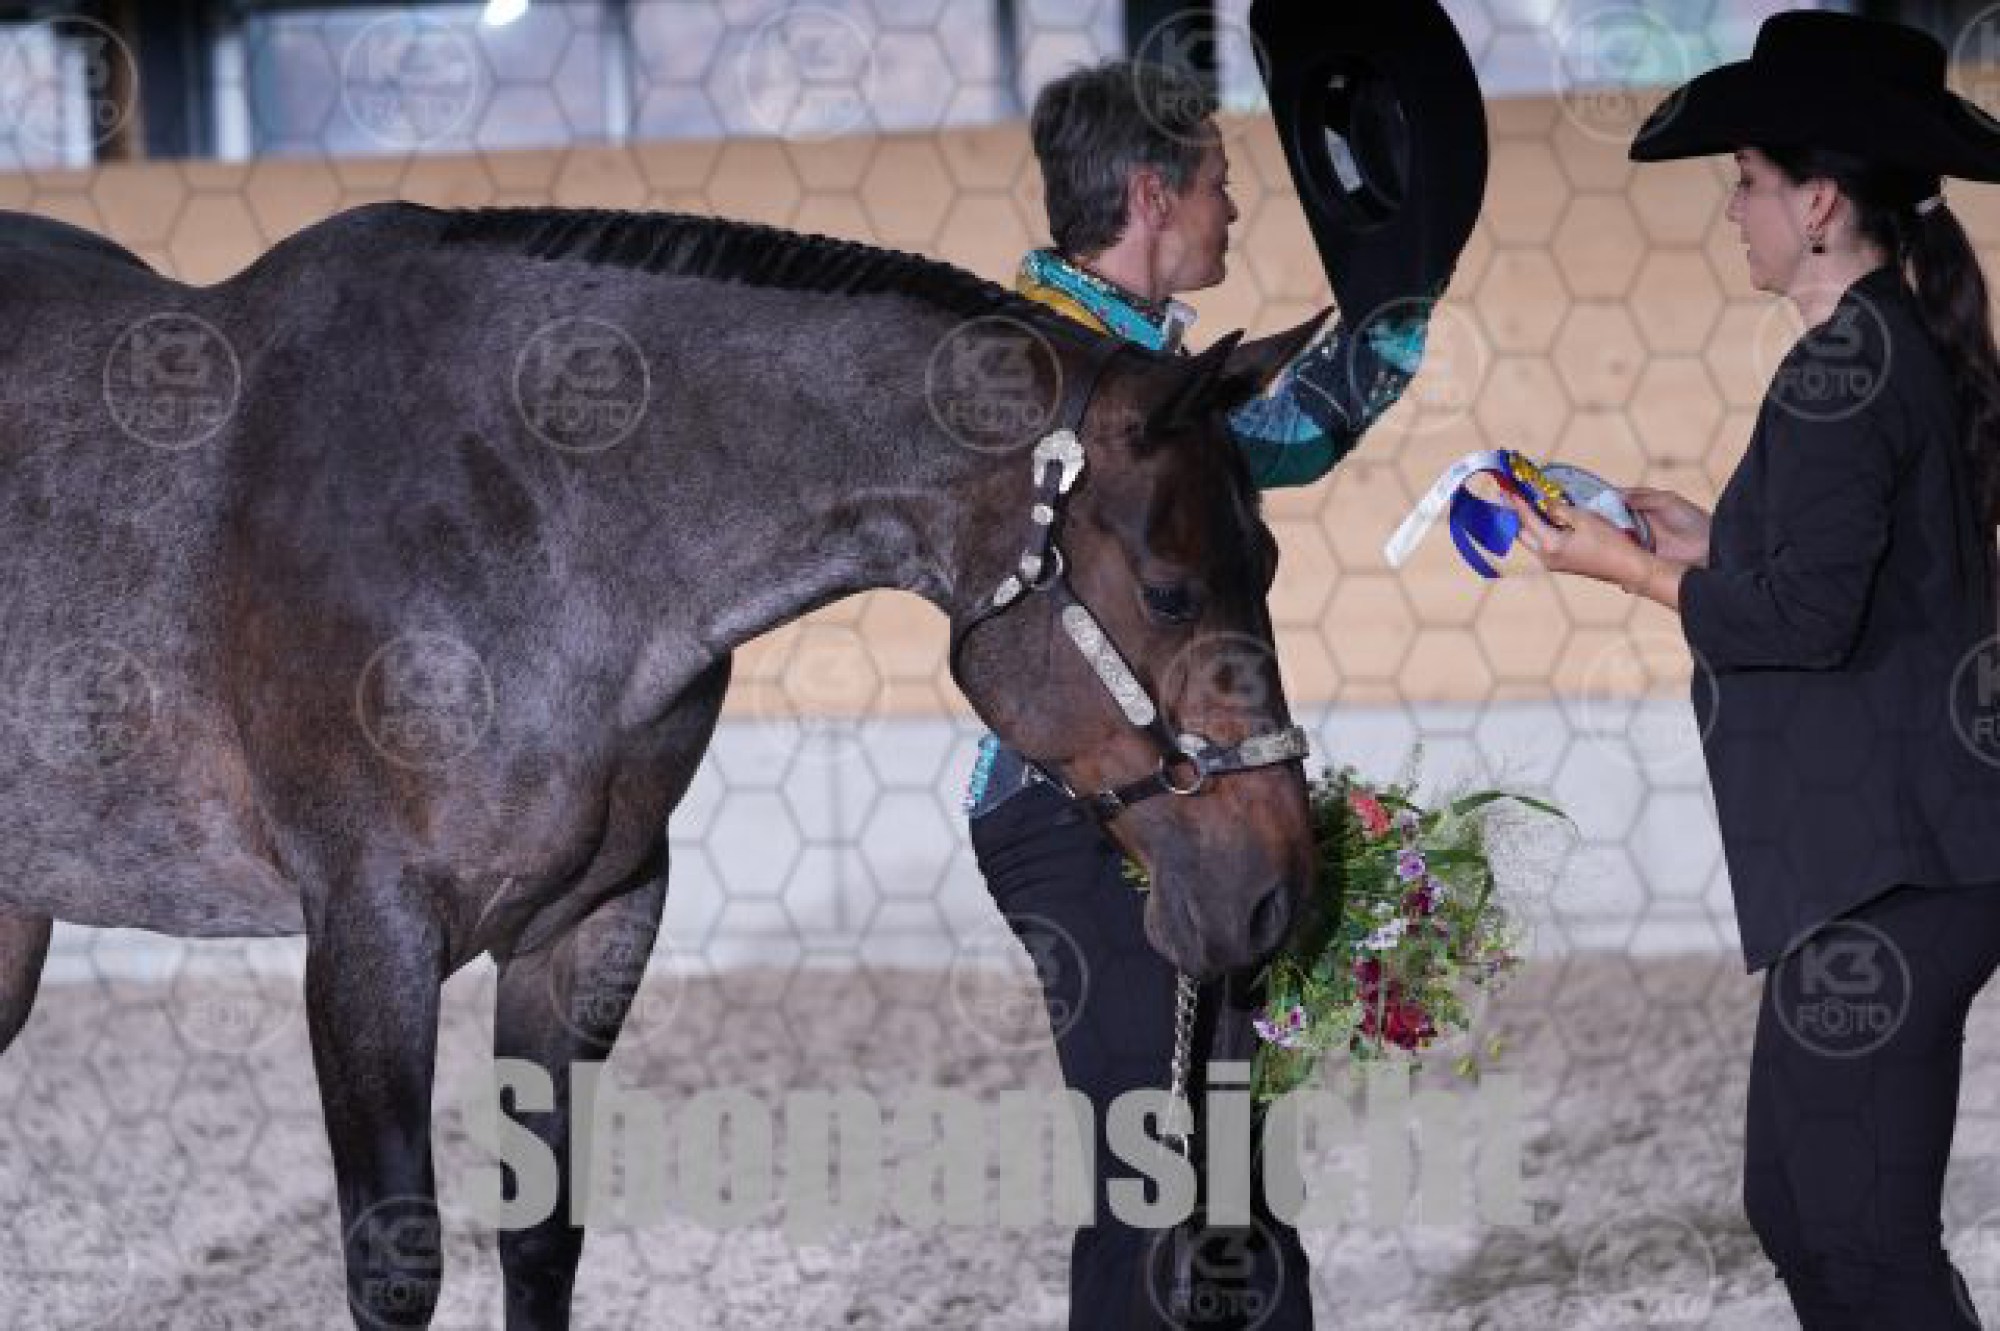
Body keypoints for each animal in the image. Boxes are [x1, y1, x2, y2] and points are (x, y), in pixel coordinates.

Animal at [0, 201, 1322, 1328]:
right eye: (1169, 589)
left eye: (1268, 560)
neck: (513, 504)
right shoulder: (368, 940)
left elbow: (541, 1238)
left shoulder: (591, 923)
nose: (1274, 889)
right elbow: (396, 1262)